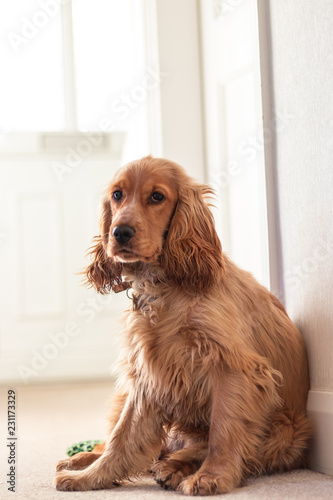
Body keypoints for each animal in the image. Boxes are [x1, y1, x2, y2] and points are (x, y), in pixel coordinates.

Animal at [54, 156, 312, 496]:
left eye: (157, 197)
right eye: (117, 194)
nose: (119, 232)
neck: (164, 287)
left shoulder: (233, 367)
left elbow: (223, 431)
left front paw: (213, 476)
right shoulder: (147, 376)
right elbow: (121, 438)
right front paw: (91, 477)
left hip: (286, 431)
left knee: (197, 447)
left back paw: (174, 467)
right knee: (126, 443)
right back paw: (81, 460)